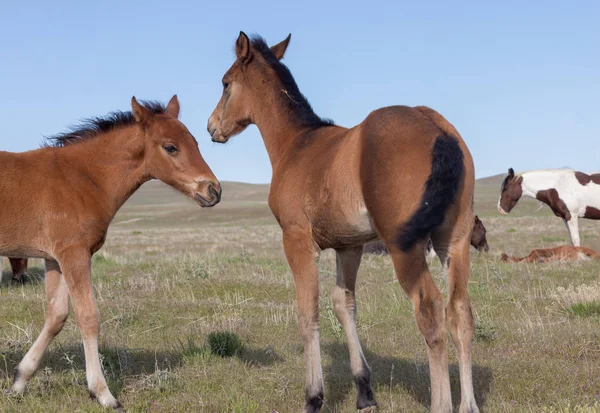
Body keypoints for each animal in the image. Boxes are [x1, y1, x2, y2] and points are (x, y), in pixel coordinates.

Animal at [0, 96, 220, 408]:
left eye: (196, 143)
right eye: (171, 147)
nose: (213, 190)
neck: (82, 178)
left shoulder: (55, 258)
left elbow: (57, 315)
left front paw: (19, 381)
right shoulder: (74, 253)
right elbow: (88, 316)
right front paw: (103, 393)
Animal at [206, 32, 478, 412]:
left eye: (225, 83)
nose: (212, 126)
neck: (296, 144)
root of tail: (438, 128)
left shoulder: (297, 240)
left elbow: (308, 314)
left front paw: (313, 397)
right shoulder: (348, 246)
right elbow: (343, 305)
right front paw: (364, 392)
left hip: (405, 247)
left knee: (431, 312)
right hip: (453, 240)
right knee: (460, 313)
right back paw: (469, 405)